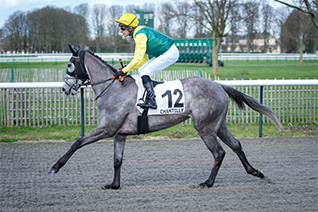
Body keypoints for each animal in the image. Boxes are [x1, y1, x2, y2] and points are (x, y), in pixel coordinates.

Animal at [49, 44, 284, 189]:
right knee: (236, 146)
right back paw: (256, 172)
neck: (113, 88)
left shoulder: (107, 129)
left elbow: (77, 142)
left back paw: (207, 183)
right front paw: (114, 185)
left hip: (205, 127)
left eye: (70, 65)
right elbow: (117, 160)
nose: (64, 89)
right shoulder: (119, 134)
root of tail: (218, 85)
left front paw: (55, 167)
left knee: (219, 153)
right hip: (219, 125)